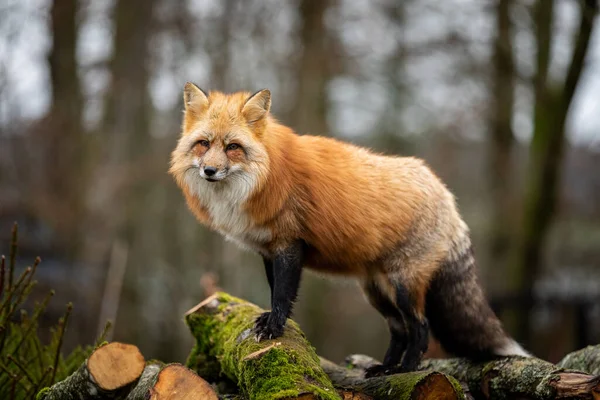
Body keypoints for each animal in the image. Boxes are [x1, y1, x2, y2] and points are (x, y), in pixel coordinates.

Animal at [170, 83, 528, 376]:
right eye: (203, 144)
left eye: (232, 147)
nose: (209, 171)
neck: (263, 177)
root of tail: (446, 194)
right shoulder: (268, 250)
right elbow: (274, 292)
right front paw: (272, 322)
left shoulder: (290, 245)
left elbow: (283, 295)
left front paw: (274, 328)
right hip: (377, 291)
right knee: (399, 330)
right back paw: (384, 368)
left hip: (403, 286)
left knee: (420, 327)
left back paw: (406, 370)